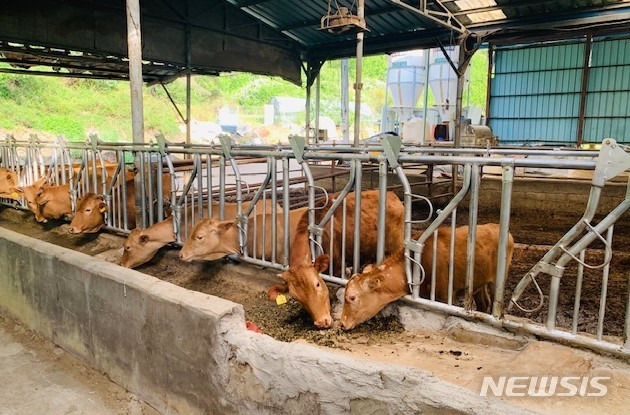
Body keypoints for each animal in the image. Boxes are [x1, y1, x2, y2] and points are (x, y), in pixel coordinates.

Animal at [340, 224, 512, 332]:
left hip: (499, 278)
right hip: (478, 283)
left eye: (352, 297)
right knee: (483, 303)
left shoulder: (444, 294)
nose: (342, 323)